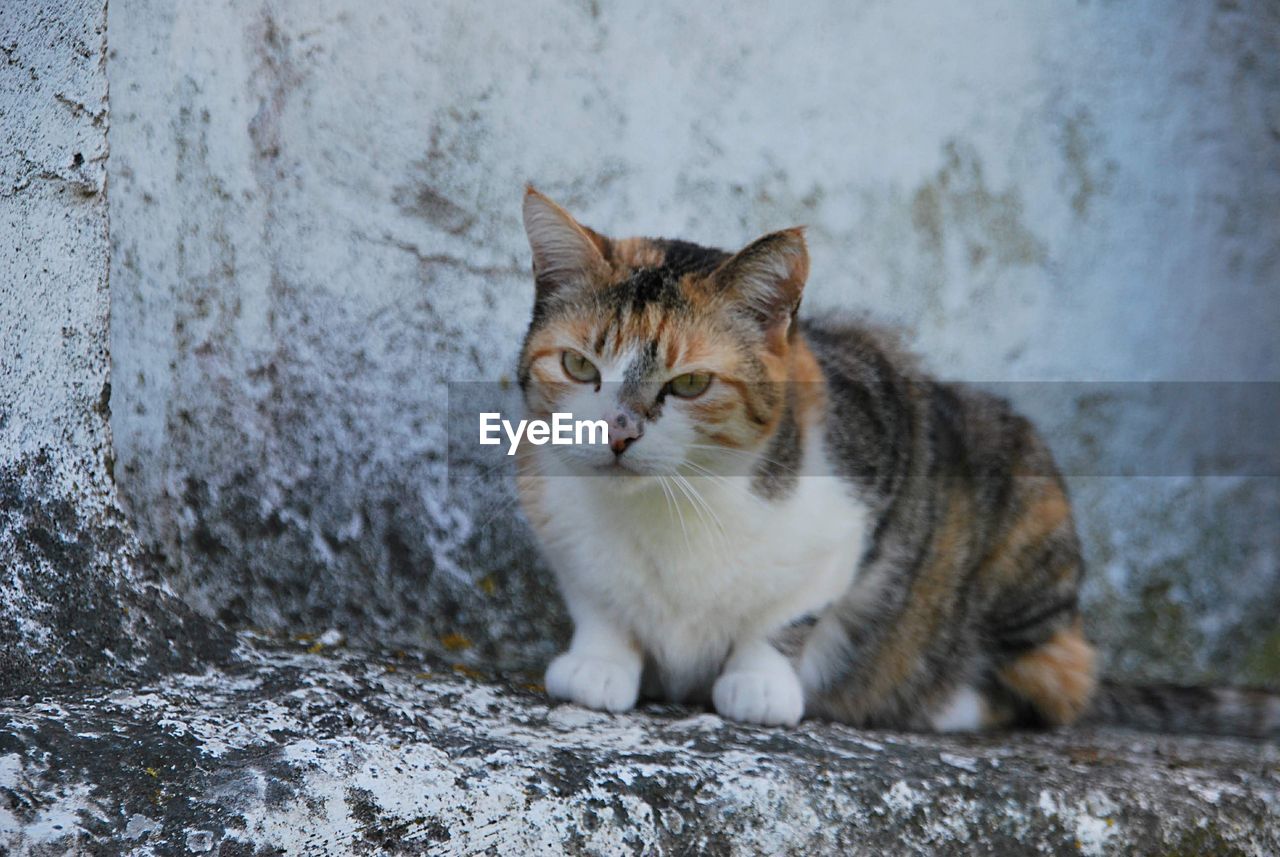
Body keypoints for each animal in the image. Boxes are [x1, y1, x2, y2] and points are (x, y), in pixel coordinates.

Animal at [514, 188, 1280, 736]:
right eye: (579, 367)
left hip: (1025, 517)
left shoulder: (877, 466)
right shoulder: (549, 513)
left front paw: (760, 679)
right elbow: (597, 598)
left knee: (1055, 686)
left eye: (691, 383)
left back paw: (936, 701)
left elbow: (791, 611)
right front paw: (599, 662)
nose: (617, 433)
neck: (671, 505)